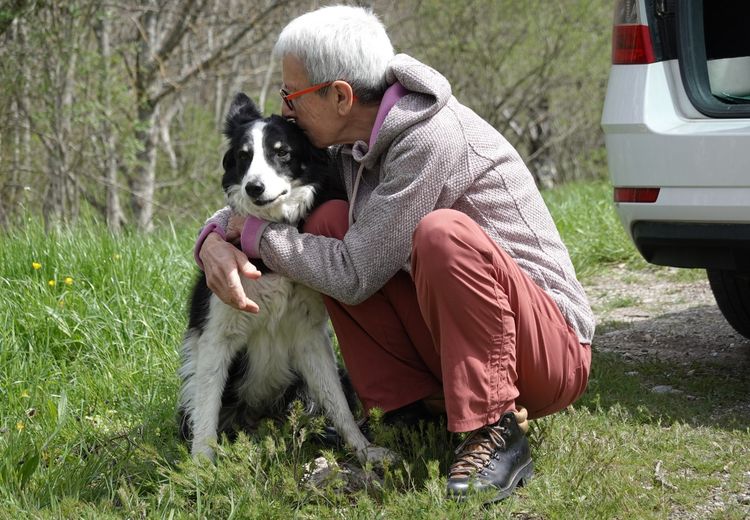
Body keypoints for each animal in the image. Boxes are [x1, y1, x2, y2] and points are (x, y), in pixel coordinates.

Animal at [177, 92, 394, 464]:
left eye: (281, 152)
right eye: (244, 156)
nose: (254, 187)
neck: (270, 228)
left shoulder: (308, 335)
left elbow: (338, 403)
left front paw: (364, 451)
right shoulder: (215, 337)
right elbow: (206, 412)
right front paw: (201, 468)